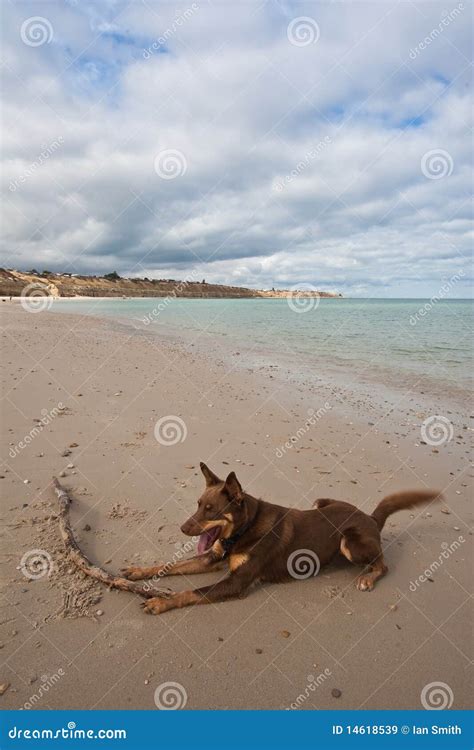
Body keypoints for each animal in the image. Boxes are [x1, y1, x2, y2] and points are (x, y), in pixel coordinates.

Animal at [122, 464, 440, 616]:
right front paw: (139, 572)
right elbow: (169, 566)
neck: (244, 528)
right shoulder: (212, 558)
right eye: (198, 504)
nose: (182, 528)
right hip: (322, 501)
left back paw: (367, 578)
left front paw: (160, 603)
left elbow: (191, 592)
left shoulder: (237, 582)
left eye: (211, 510)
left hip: (349, 543)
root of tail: (371, 518)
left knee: (383, 564)